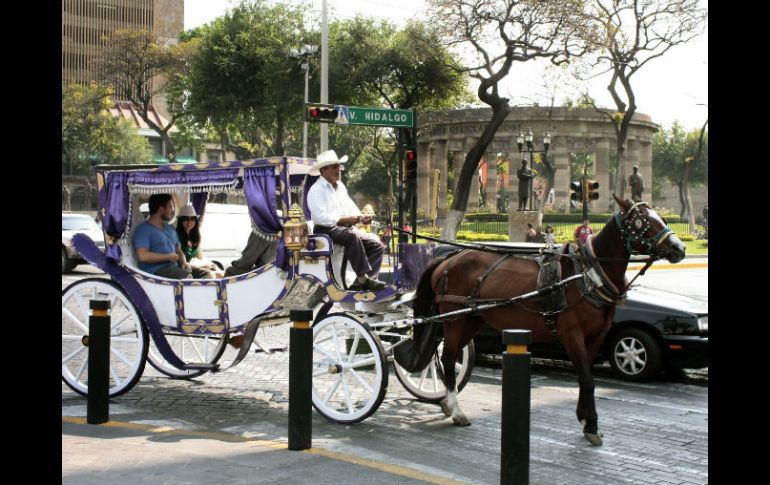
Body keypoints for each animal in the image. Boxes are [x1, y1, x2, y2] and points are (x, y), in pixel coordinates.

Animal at [408, 195, 684, 444]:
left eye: (660, 218)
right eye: (642, 221)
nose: (679, 248)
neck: (587, 275)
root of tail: (449, 258)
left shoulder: (597, 336)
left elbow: (586, 377)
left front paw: (585, 418)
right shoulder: (572, 335)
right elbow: (587, 377)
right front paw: (592, 425)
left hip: (469, 319)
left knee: (448, 357)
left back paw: (446, 402)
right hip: (454, 319)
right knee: (447, 358)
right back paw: (456, 411)